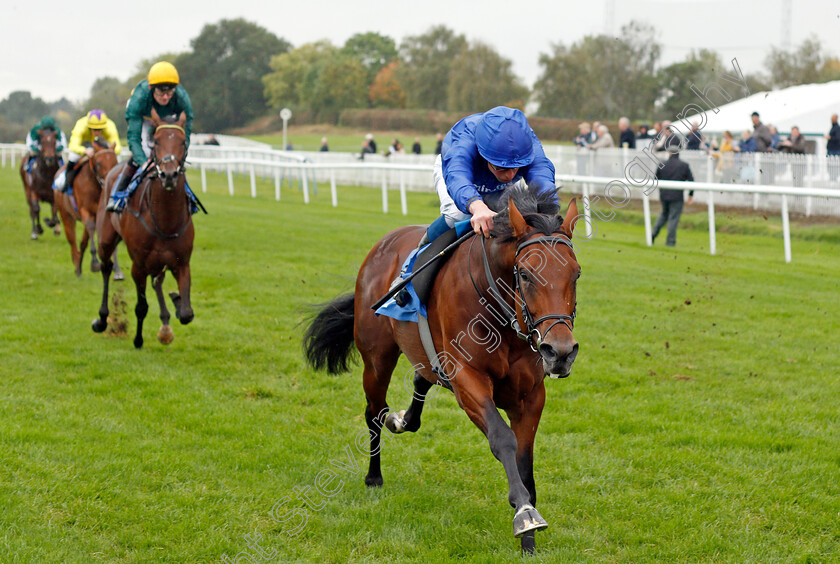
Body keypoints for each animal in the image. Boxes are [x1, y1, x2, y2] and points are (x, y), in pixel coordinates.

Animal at [92, 109, 194, 348]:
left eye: (183, 141)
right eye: (155, 141)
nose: (168, 174)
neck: (166, 220)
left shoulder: (182, 261)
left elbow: (187, 313)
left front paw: (176, 303)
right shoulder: (138, 264)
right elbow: (141, 306)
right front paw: (138, 339)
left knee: (157, 281)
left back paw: (166, 321)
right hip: (106, 240)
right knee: (106, 267)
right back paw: (102, 319)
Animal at [306, 187, 580, 552]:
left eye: (576, 274)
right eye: (524, 274)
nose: (560, 352)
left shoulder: (530, 395)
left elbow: (525, 456)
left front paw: (529, 540)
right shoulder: (468, 379)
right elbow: (503, 439)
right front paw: (524, 513)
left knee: (419, 381)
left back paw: (402, 419)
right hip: (377, 357)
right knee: (374, 412)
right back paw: (374, 474)